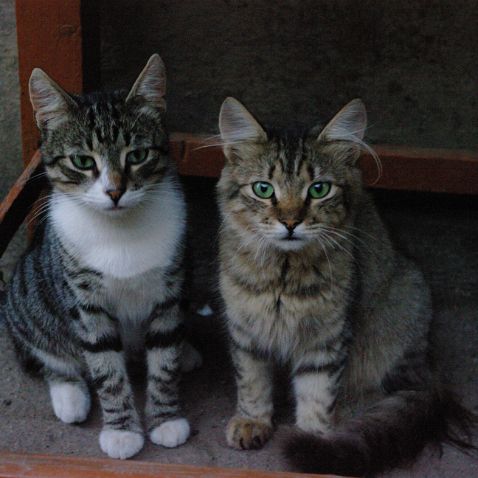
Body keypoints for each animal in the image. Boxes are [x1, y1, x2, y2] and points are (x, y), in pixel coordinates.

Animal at [217, 96, 474, 474]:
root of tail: (425, 364)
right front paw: (253, 423)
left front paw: (312, 444)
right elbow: (252, 382)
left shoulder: (327, 336)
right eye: (263, 189)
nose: (290, 222)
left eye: (319, 189)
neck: (283, 274)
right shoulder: (245, 328)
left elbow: (316, 395)